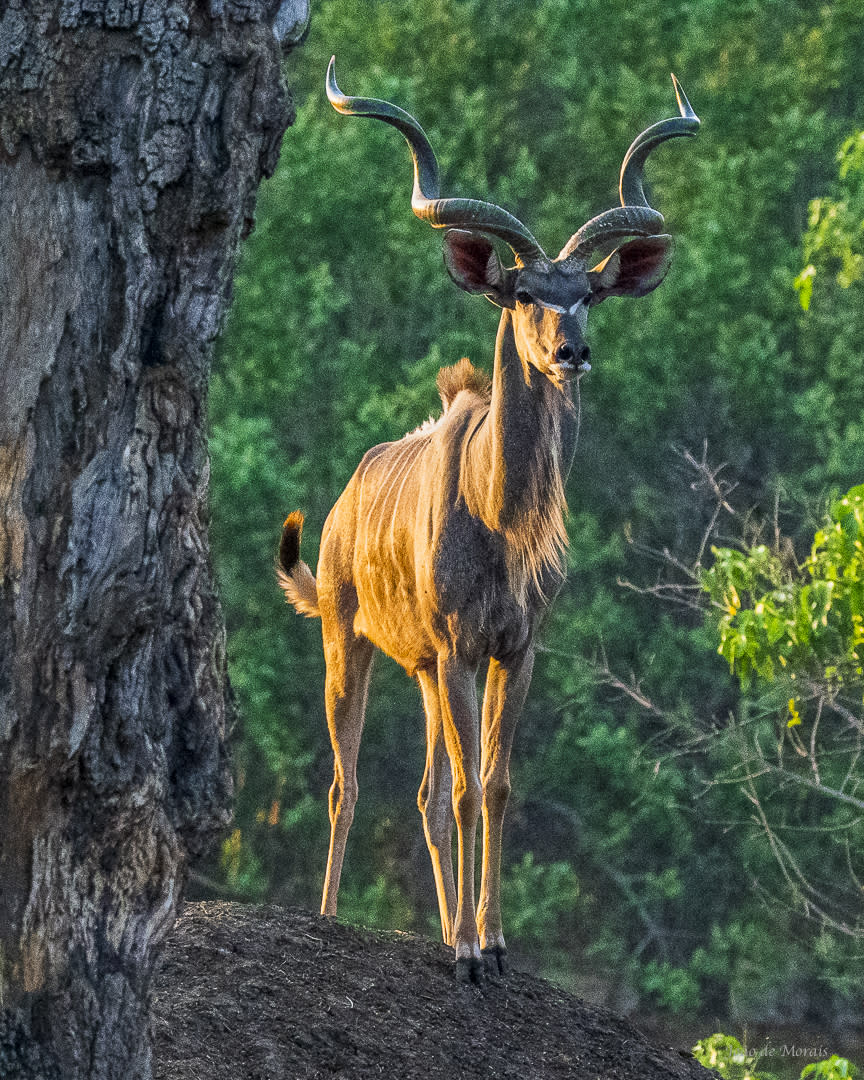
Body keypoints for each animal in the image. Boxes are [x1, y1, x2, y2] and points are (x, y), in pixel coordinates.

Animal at [280, 61, 699, 989]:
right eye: (523, 294)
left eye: (588, 294)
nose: (571, 351)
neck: (504, 522)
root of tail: (341, 508)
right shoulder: (458, 646)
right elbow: (471, 787)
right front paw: (471, 949)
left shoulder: (513, 647)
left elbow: (495, 785)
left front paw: (492, 943)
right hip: (349, 643)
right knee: (348, 784)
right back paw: (331, 918)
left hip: (423, 671)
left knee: (429, 795)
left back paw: (445, 930)